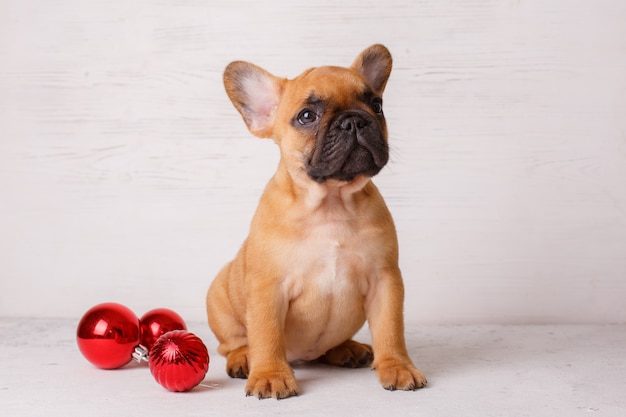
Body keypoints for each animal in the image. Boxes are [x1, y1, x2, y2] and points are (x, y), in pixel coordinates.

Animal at [206, 44, 424, 398]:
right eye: (307, 116)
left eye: (376, 105)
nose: (353, 121)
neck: (330, 203)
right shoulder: (268, 289)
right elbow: (266, 335)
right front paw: (270, 375)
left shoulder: (385, 280)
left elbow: (391, 329)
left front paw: (397, 366)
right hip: (219, 298)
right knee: (233, 342)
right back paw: (244, 358)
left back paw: (347, 349)